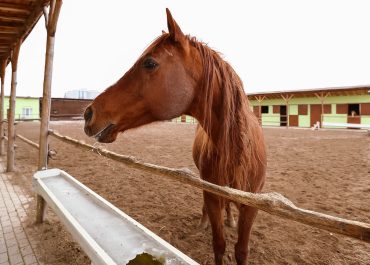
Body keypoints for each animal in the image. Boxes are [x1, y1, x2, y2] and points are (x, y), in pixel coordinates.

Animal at [84, 8, 266, 264]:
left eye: (149, 63)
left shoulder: (252, 206)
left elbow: (241, 249)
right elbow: (219, 243)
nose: (88, 113)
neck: (237, 149)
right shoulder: (212, 194)